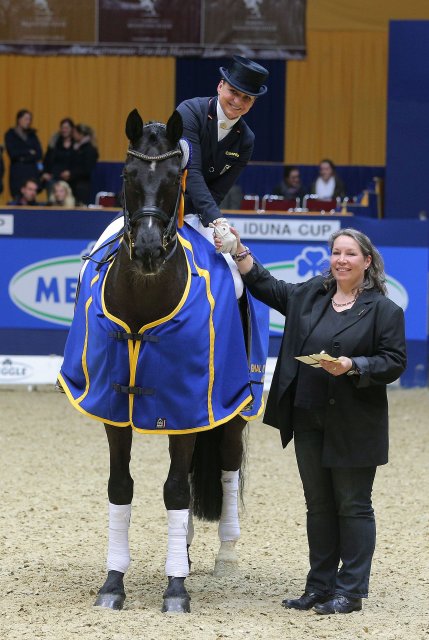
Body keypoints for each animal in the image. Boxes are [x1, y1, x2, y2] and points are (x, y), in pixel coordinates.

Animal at [59, 110, 251, 616]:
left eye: (172, 178)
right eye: (127, 175)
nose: (146, 249)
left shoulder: (188, 405)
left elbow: (177, 490)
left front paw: (176, 589)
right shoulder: (115, 409)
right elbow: (120, 487)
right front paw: (113, 583)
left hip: (231, 408)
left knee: (226, 470)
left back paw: (226, 556)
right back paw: (182, 546)